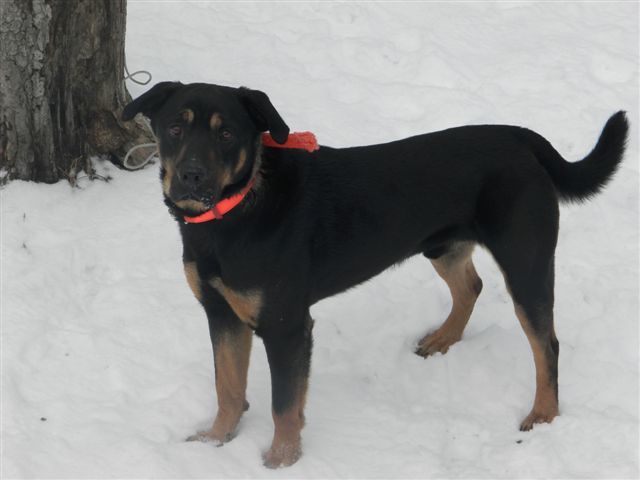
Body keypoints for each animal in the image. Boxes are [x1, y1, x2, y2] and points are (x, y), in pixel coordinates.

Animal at [122, 83, 628, 468]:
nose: (192, 177)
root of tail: (521, 139)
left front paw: (282, 459)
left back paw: (543, 414)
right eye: (174, 127)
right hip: (442, 245)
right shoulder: (221, 313)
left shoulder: (286, 325)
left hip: (526, 260)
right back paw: (442, 339)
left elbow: (284, 403)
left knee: (546, 344)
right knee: (471, 286)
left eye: (226, 133)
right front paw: (214, 441)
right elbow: (227, 387)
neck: (235, 211)